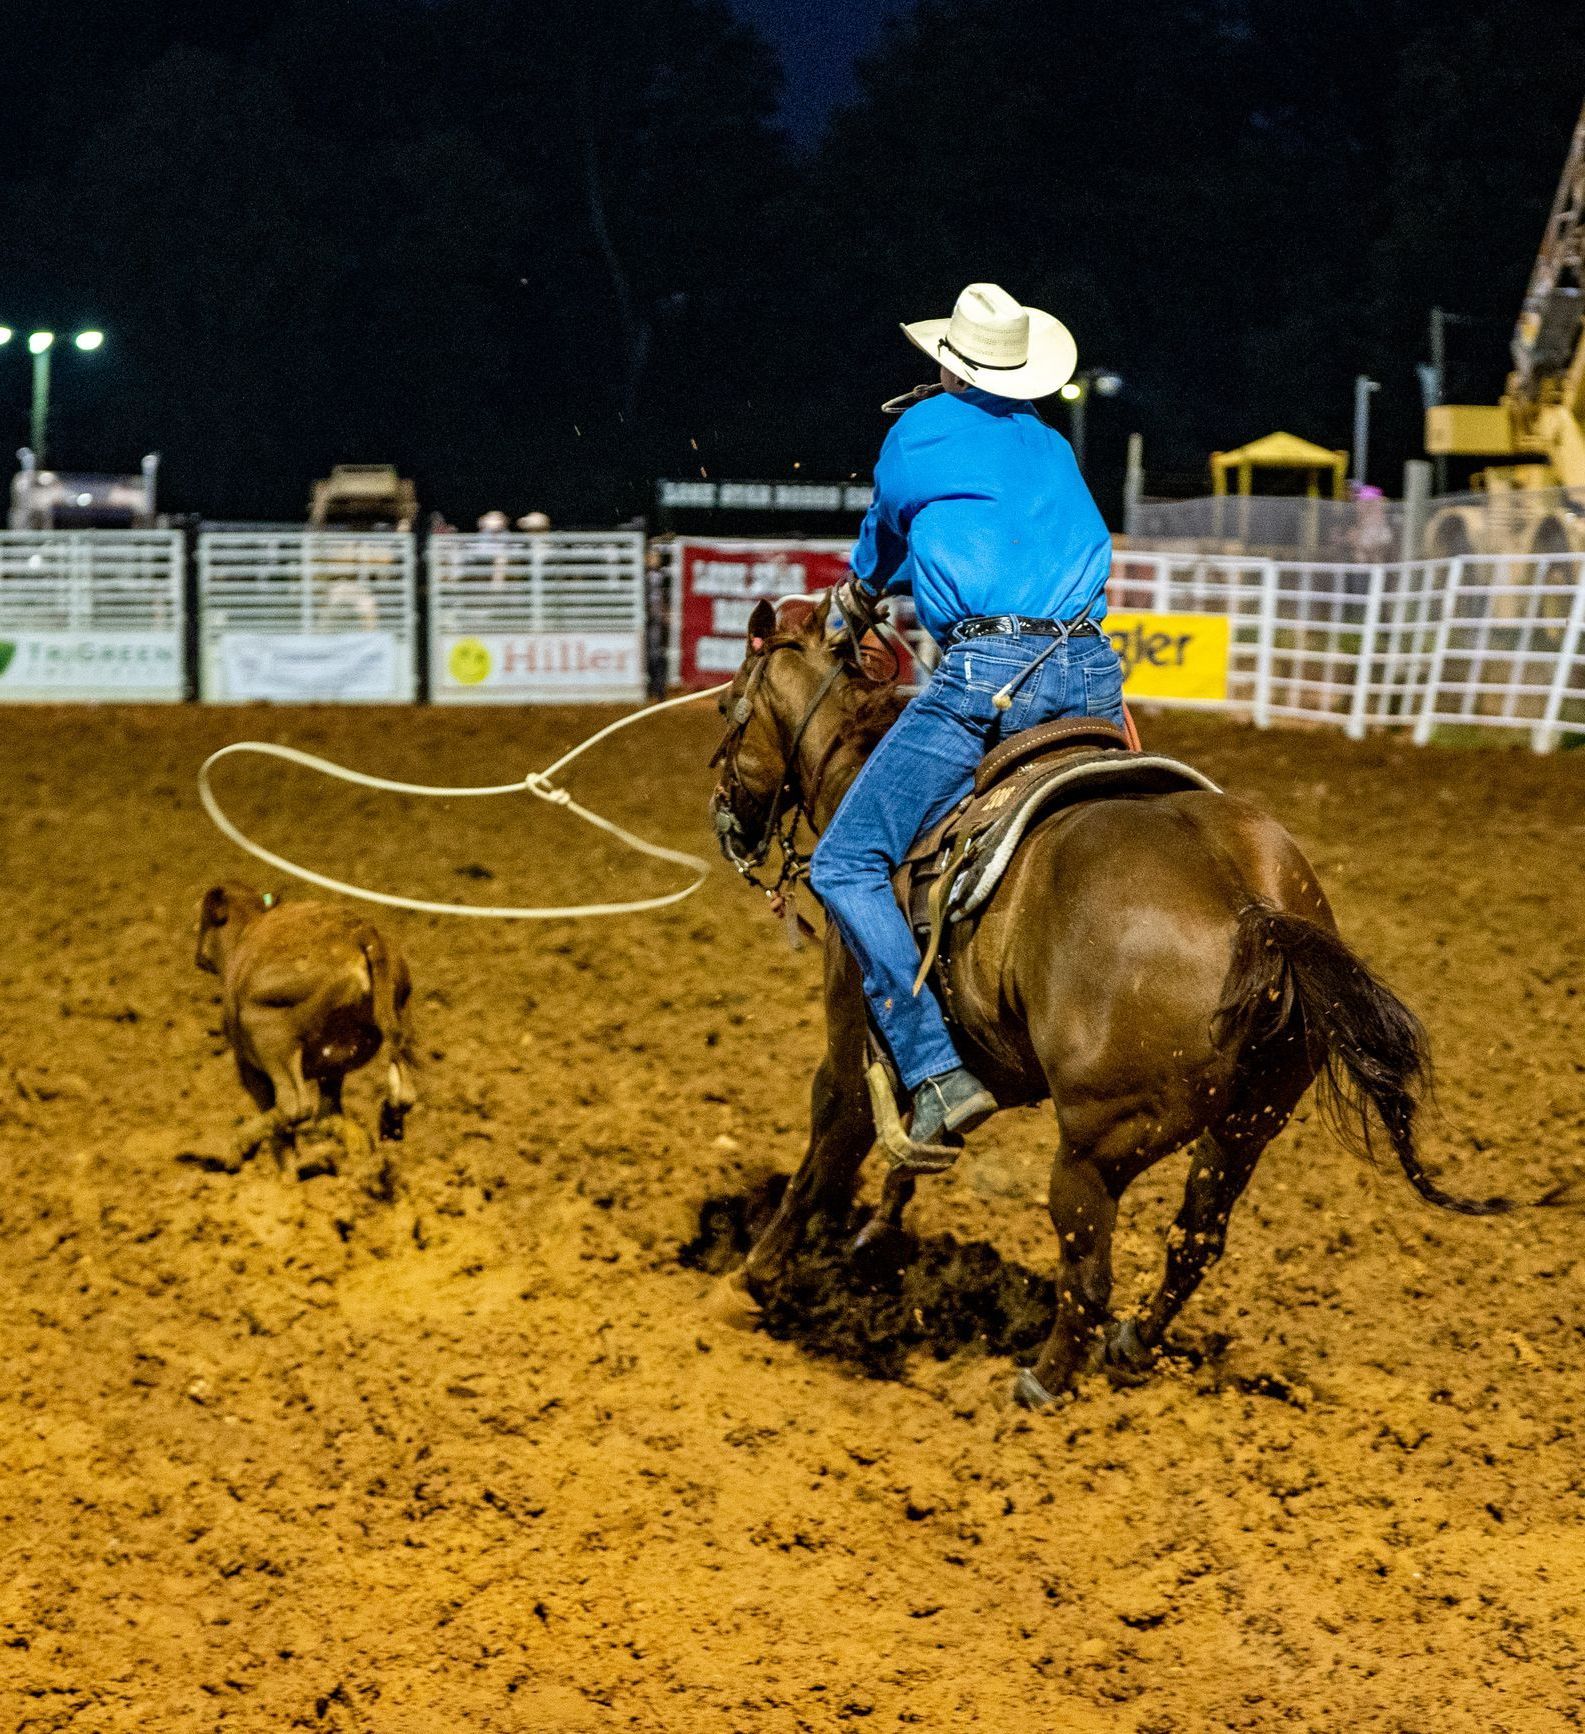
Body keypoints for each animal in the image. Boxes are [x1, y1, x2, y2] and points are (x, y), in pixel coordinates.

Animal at [194, 887, 416, 1158]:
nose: (198, 956)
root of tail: (362, 934)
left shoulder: (251, 1068)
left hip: (270, 1035)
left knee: (295, 1107)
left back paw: (239, 1142)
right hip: (386, 1027)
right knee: (400, 1094)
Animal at [707, 596, 1519, 1408]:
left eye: (726, 705)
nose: (728, 822)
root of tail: (1250, 907)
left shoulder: (850, 1053)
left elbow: (822, 1166)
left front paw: (747, 1283)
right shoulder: (985, 1063)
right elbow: (921, 1144)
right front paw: (873, 1239)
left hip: (1096, 1148)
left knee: (1088, 1273)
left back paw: (1040, 1385)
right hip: (1248, 1124)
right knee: (1194, 1241)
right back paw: (1131, 1345)